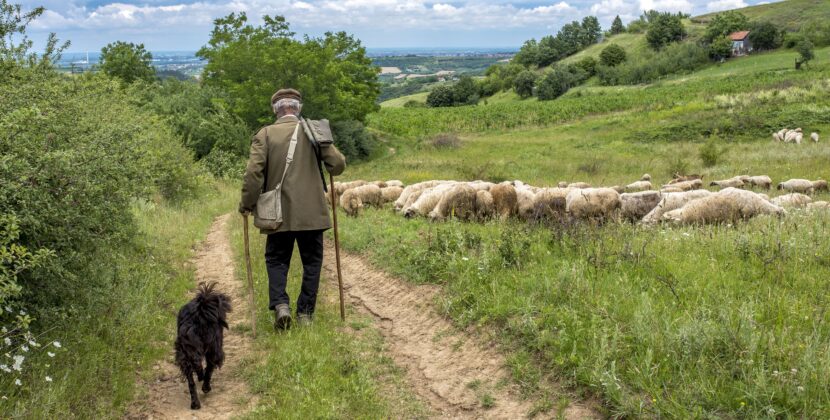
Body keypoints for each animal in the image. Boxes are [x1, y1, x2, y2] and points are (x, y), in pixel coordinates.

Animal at [176, 280, 232, 408]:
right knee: (206, 367)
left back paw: (195, 403)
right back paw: (205, 386)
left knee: (192, 379)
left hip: (185, 353)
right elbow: (209, 368)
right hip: (214, 348)